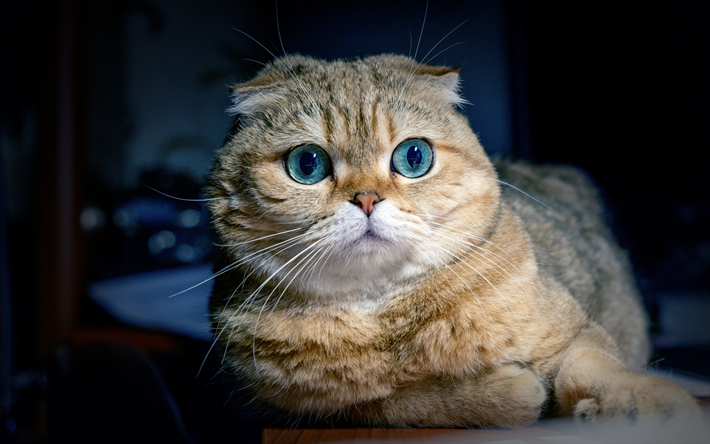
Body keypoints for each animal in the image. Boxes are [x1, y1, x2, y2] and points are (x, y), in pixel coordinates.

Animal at [203, 53, 704, 428]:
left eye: (414, 157)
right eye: (307, 164)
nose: (366, 199)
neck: (388, 316)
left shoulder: (575, 332)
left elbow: (594, 365)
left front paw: (639, 401)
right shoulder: (293, 411)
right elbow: (400, 401)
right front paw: (508, 392)